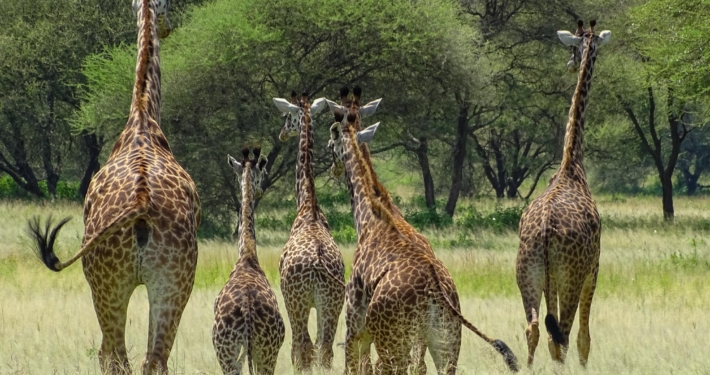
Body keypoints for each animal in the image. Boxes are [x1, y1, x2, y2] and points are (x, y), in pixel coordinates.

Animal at [25, 1, 202, 374]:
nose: (168, 28)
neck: (142, 118)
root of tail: (141, 204)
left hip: (114, 284)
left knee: (117, 356)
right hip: (168, 283)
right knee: (145, 359)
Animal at [211, 146, 286, 375]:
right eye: (263, 172)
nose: (261, 189)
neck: (247, 255)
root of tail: (247, 310)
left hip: (232, 354)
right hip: (263, 353)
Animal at [272, 90, 348, 370]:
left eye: (287, 116)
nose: (282, 134)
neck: (309, 206)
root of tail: (317, 264)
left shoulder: (288, 296)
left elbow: (298, 348)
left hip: (298, 301)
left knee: (303, 346)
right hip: (332, 303)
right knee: (324, 348)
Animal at [326, 86, 516, 374]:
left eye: (331, 139)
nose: (332, 167)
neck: (369, 216)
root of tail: (436, 293)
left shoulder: (355, 325)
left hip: (393, 341)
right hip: (446, 342)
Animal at [516, 19, 612, 368]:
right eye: (574, 47)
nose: (571, 65)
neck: (571, 162)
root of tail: (544, 231)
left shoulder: (551, 279)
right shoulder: (593, 267)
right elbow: (585, 338)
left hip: (528, 272)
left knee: (534, 328)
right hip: (571, 275)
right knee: (566, 335)